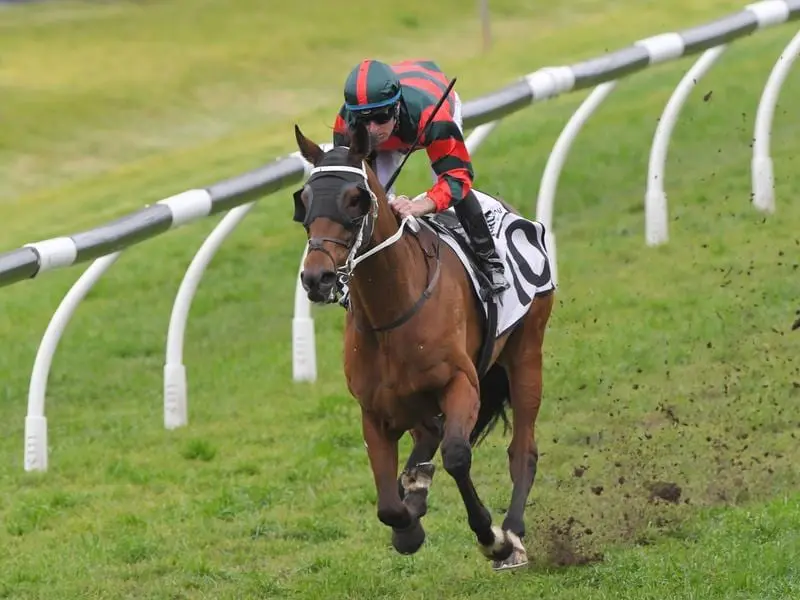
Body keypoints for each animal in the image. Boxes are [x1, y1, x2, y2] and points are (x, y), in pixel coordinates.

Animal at [292, 118, 556, 572]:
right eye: (304, 200)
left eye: (355, 200)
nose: (316, 278)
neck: (390, 314)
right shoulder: (374, 411)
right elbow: (387, 505)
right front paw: (409, 524)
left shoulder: (461, 384)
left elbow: (457, 455)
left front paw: (493, 539)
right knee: (427, 436)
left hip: (526, 353)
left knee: (522, 449)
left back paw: (513, 533)